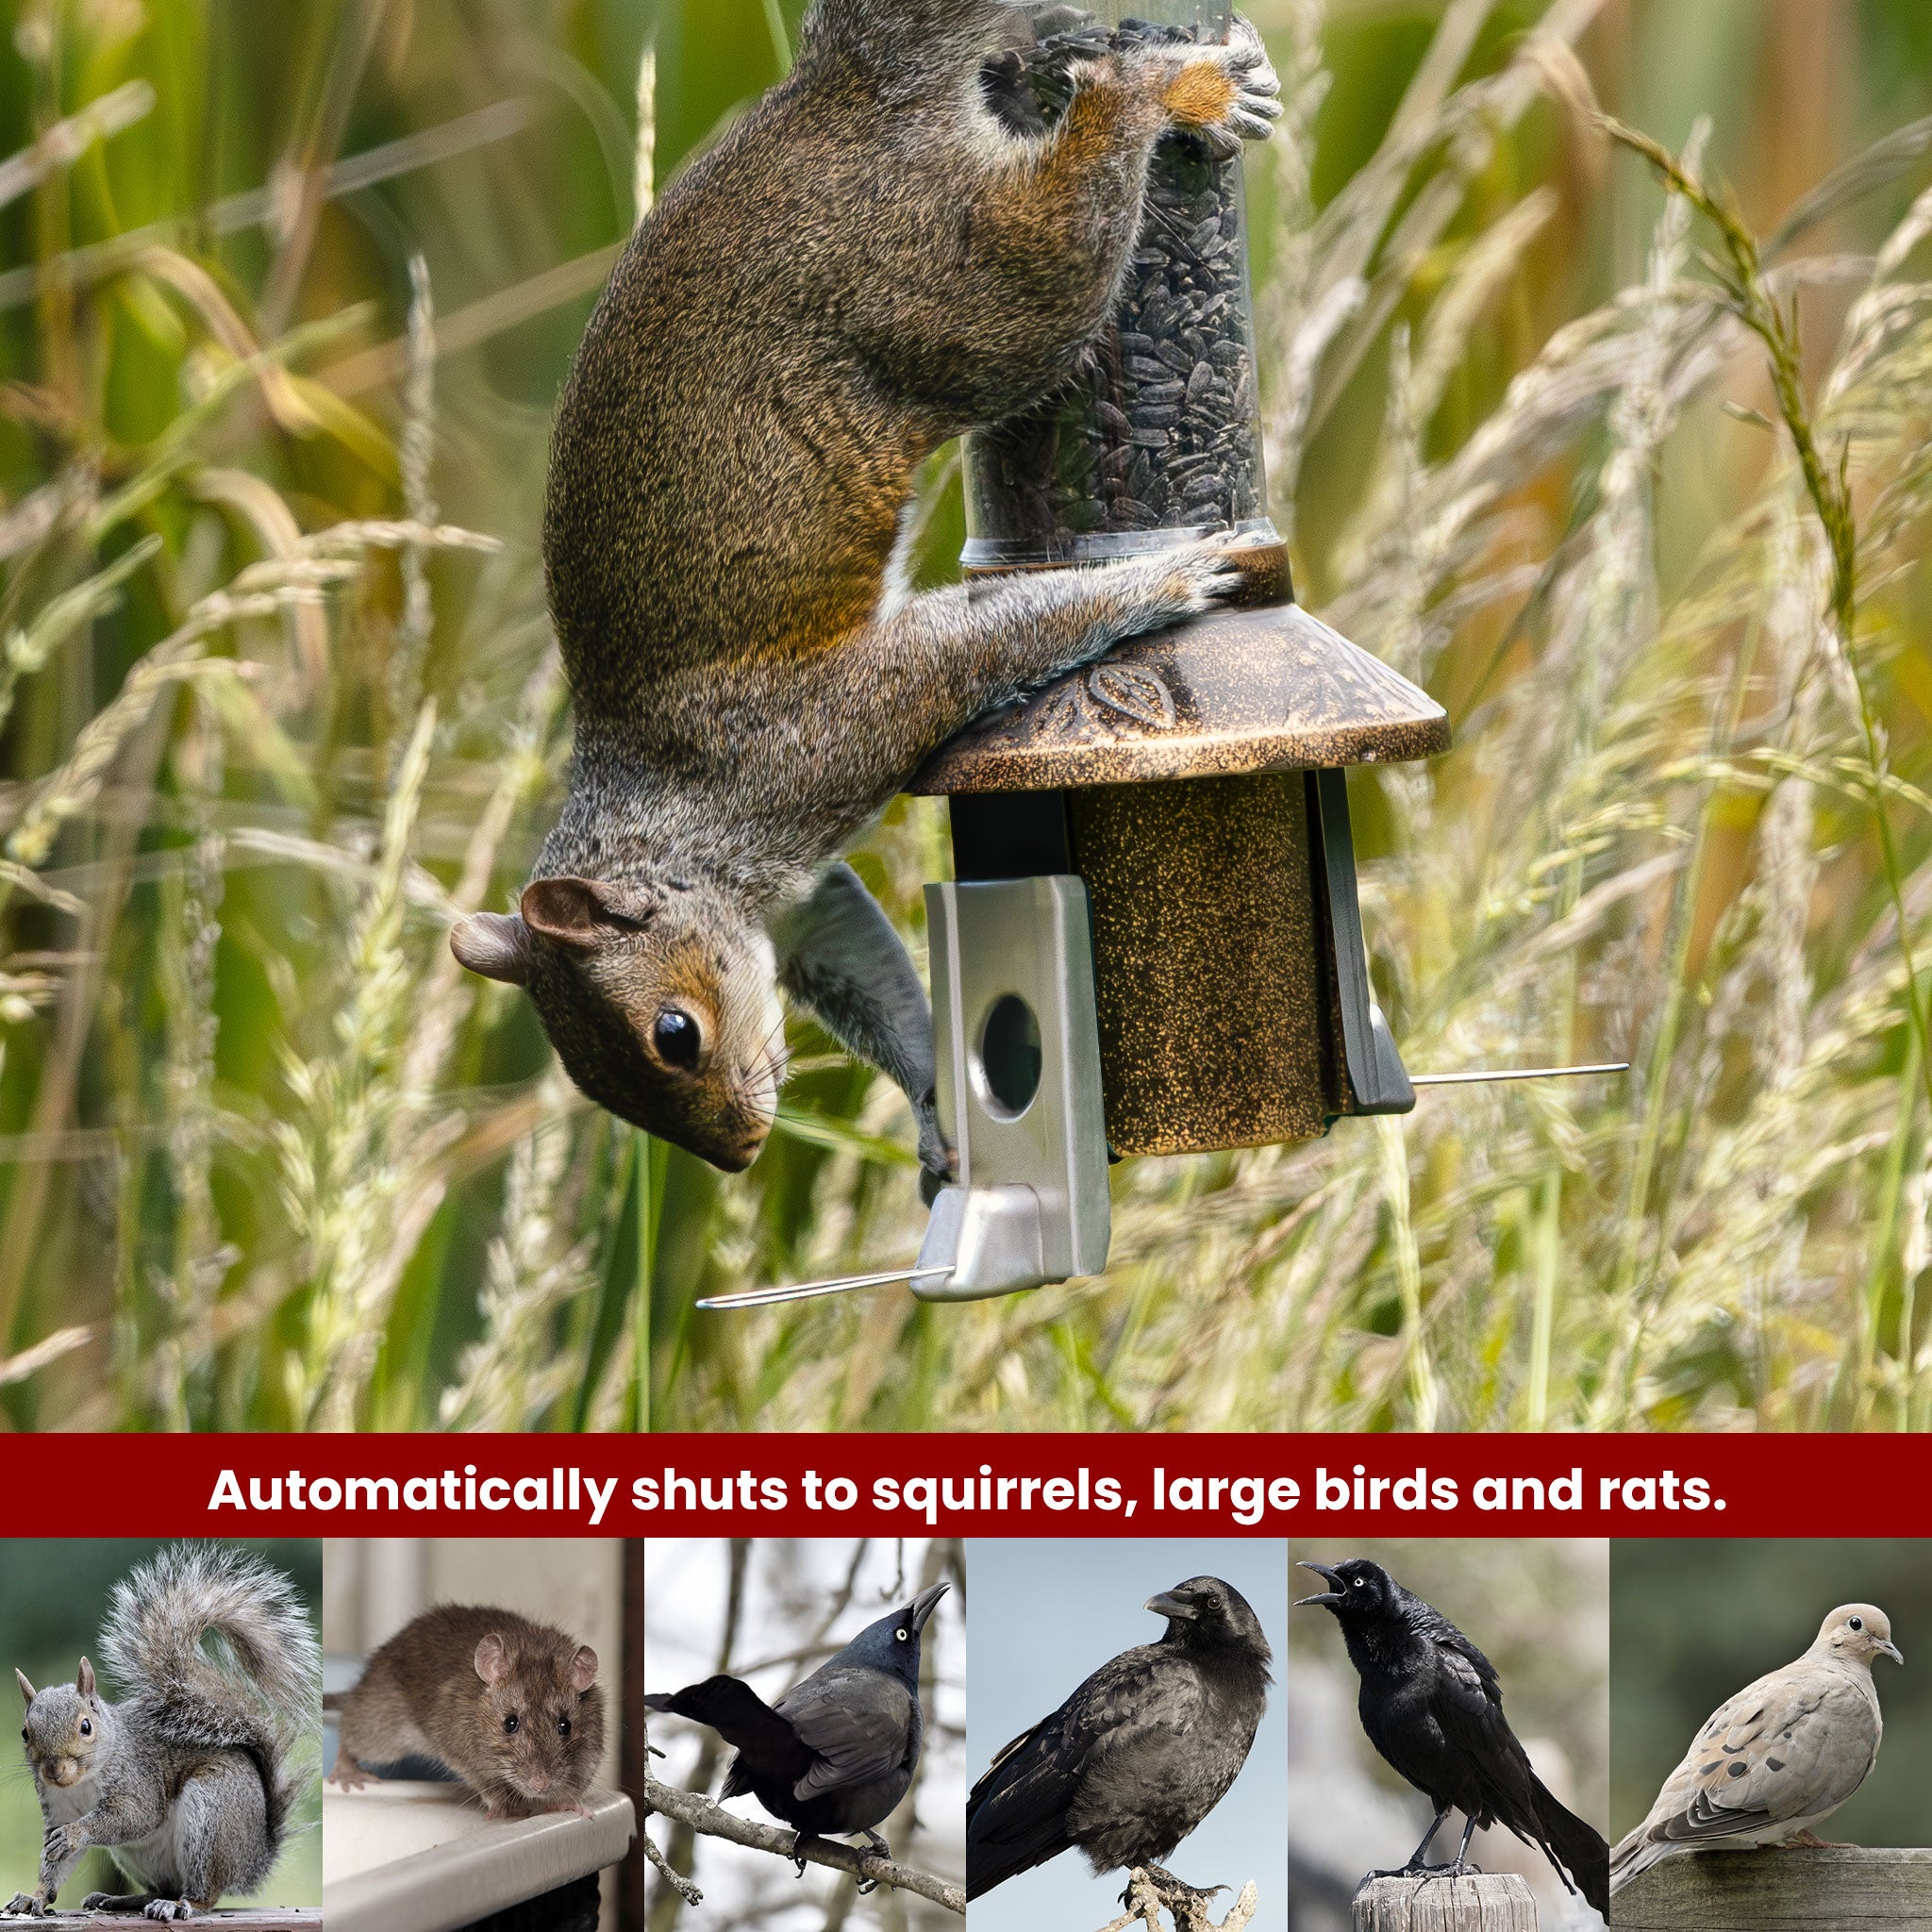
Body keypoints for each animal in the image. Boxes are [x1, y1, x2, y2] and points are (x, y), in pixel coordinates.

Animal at [6, 1544, 319, 1923]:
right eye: (25, 1732)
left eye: (85, 1727)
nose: (53, 1770)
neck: (82, 1781)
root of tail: (253, 1860)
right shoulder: (57, 1807)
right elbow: (55, 1864)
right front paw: (34, 1897)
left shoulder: (138, 1781)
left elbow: (134, 1816)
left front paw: (76, 1834)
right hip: (138, 1856)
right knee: (163, 1887)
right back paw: (122, 1899)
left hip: (211, 1816)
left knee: (204, 1893)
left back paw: (180, 1904)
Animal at [450, 0, 1282, 1183]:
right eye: (592, 1082)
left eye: (672, 1033)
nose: (740, 1153)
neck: (677, 818)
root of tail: (843, 96)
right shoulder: (804, 904)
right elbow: (867, 971)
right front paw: (938, 1103)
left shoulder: (829, 729)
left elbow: (979, 647)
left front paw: (1160, 574)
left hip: (972, 292)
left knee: (1066, 229)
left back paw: (1160, 92)